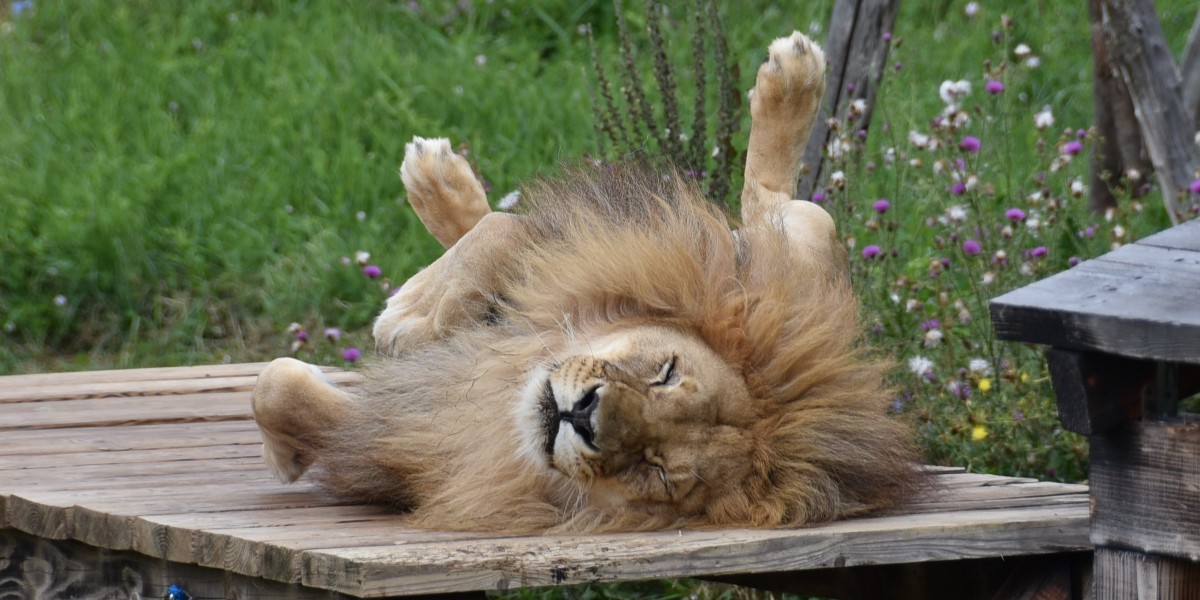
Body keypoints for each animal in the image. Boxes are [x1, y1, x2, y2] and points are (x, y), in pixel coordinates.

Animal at [250, 32, 917, 534]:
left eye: (657, 469)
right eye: (665, 371)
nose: (585, 416)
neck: (508, 381)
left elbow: (274, 385)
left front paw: (288, 454)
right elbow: (506, 233)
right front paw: (413, 315)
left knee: (771, 201)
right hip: (787, 250)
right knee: (765, 204)